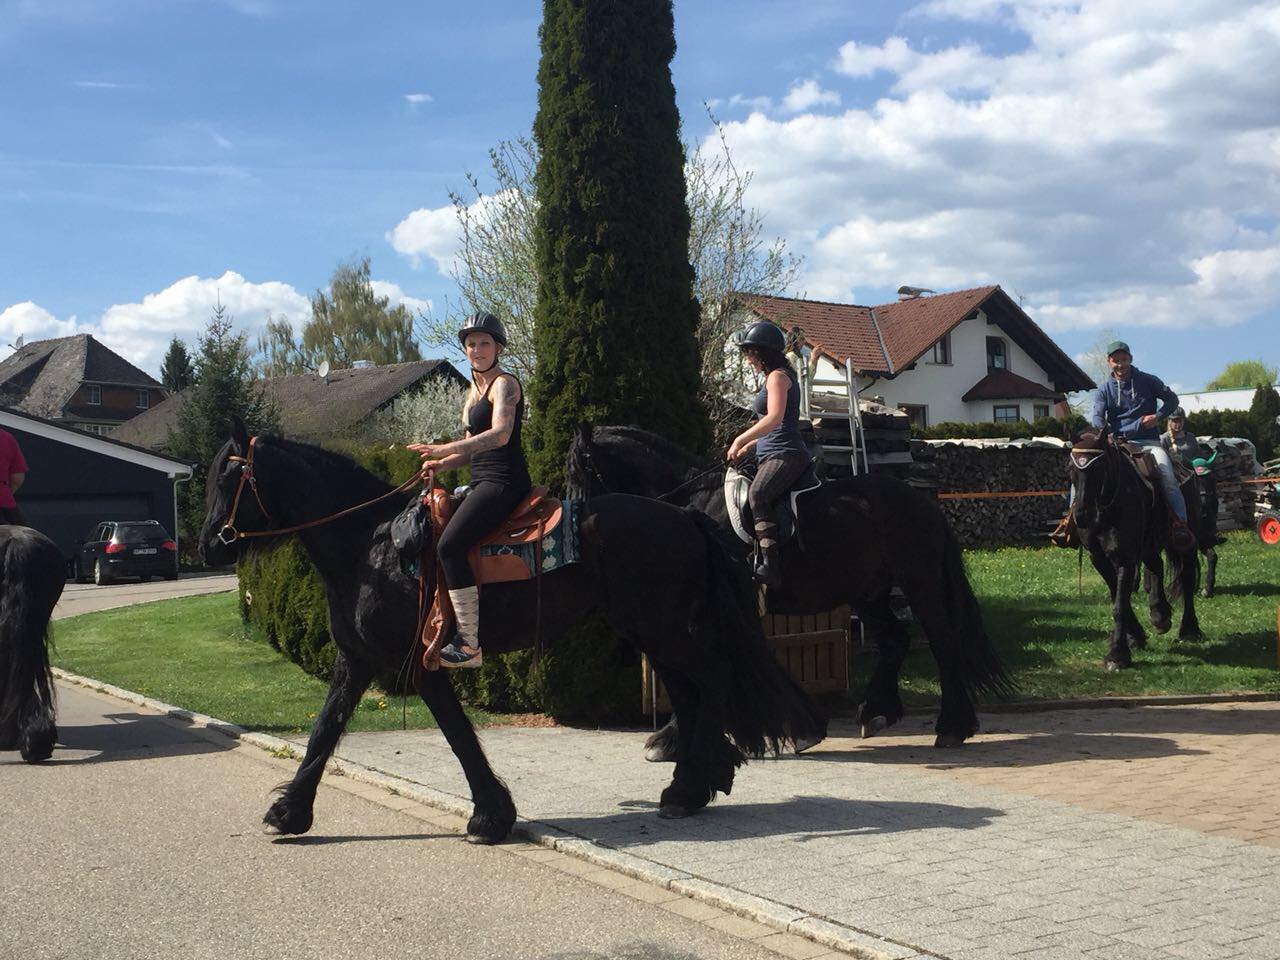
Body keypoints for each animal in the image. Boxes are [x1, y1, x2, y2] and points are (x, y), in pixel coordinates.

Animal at [199, 417, 825, 841]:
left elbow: (457, 735)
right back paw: (689, 786)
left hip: (666, 627)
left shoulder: (419, 664)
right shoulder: (356, 660)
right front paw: (289, 812)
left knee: (711, 680)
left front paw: (491, 815)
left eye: (228, 477)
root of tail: (684, 514)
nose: (206, 545)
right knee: (690, 691)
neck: (369, 546)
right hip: (653, 628)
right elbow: (325, 730)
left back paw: (692, 784)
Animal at [566, 424, 1014, 749]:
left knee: (942, 642)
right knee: (895, 640)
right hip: (867, 592)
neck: (696, 506)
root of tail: (924, 505)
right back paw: (875, 713)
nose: (572, 527)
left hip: (920, 584)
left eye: (577, 471)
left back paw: (951, 727)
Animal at [1068, 426, 1202, 670]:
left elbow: (1120, 604)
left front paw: (1117, 654)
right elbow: (1118, 597)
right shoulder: (1099, 558)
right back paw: (1160, 614)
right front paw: (1134, 637)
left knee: (1187, 579)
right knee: (1156, 567)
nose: (1081, 515)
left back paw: (1190, 630)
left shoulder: (1126, 558)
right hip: (1149, 546)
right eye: (1070, 467)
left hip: (1187, 545)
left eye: (1098, 467)